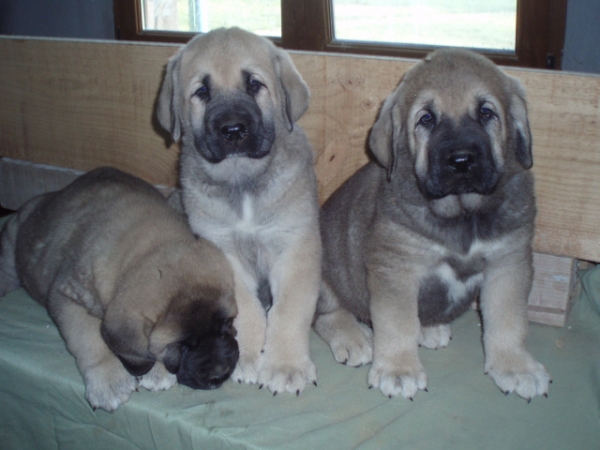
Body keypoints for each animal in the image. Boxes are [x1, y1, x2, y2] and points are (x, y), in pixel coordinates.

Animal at [0, 168, 239, 412]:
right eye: (178, 345)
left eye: (227, 323)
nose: (220, 375)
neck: (147, 245)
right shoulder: (64, 296)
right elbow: (87, 336)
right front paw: (108, 379)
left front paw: (156, 371)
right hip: (10, 246)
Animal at [314, 48, 552, 400]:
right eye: (426, 118)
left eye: (486, 112)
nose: (462, 160)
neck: (462, 215)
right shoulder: (396, 270)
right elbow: (396, 323)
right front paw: (398, 370)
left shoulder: (508, 263)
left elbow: (509, 320)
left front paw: (516, 366)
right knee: (327, 313)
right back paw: (353, 337)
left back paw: (428, 329)